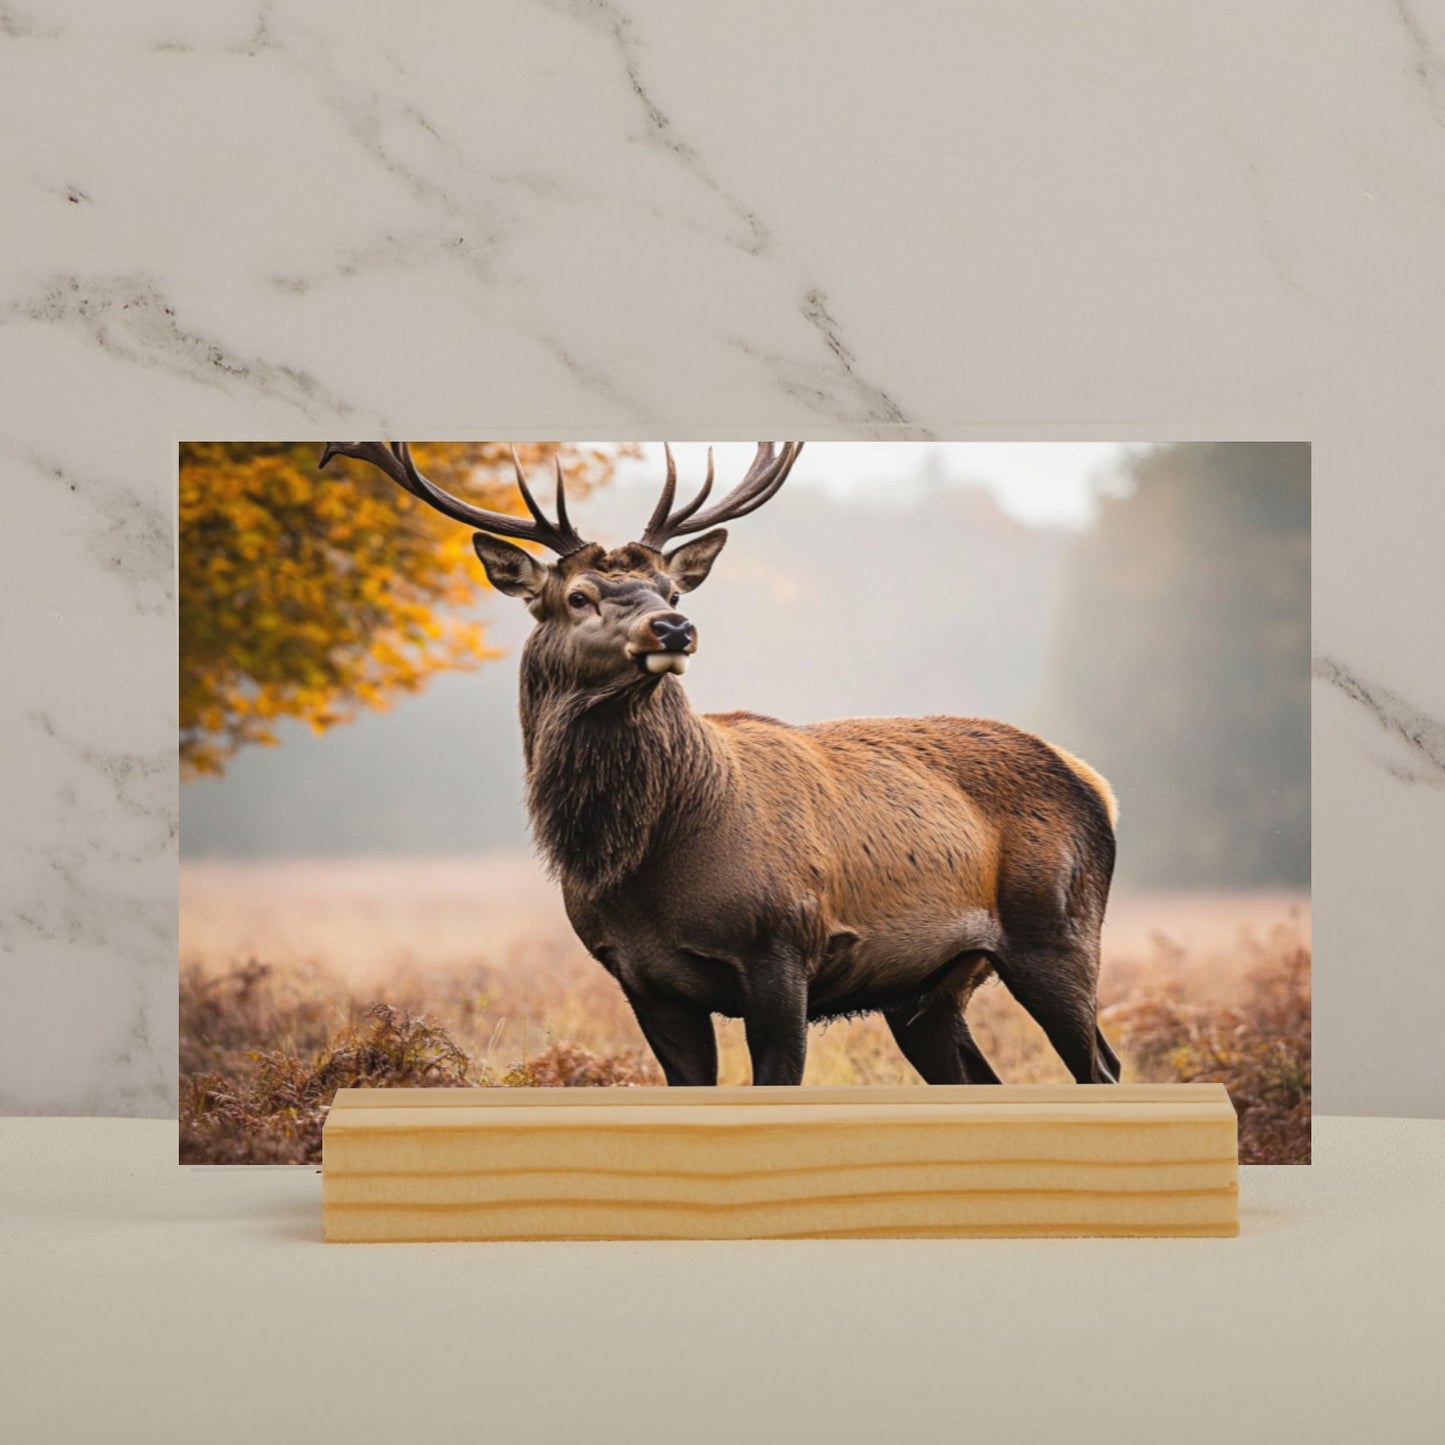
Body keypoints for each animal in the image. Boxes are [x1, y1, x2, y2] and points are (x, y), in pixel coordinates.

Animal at [319, 441, 1122, 1088]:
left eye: (670, 588)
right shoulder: (643, 980)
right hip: (927, 986)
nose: (674, 626)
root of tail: (1095, 783)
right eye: (578, 595)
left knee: (1103, 1068)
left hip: (1057, 931)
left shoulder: (783, 949)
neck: (649, 863)